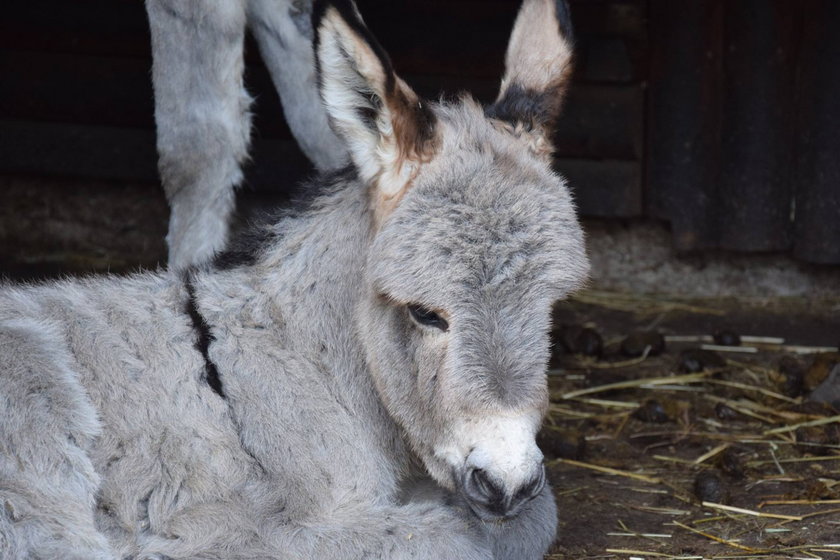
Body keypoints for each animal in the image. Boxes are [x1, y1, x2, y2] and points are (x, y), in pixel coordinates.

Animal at [0, 2, 588, 556]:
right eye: (424, 313)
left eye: (550, 308)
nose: (507, 483)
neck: (307, 357)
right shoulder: (300, 519)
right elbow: (467, 537)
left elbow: (534, 515)